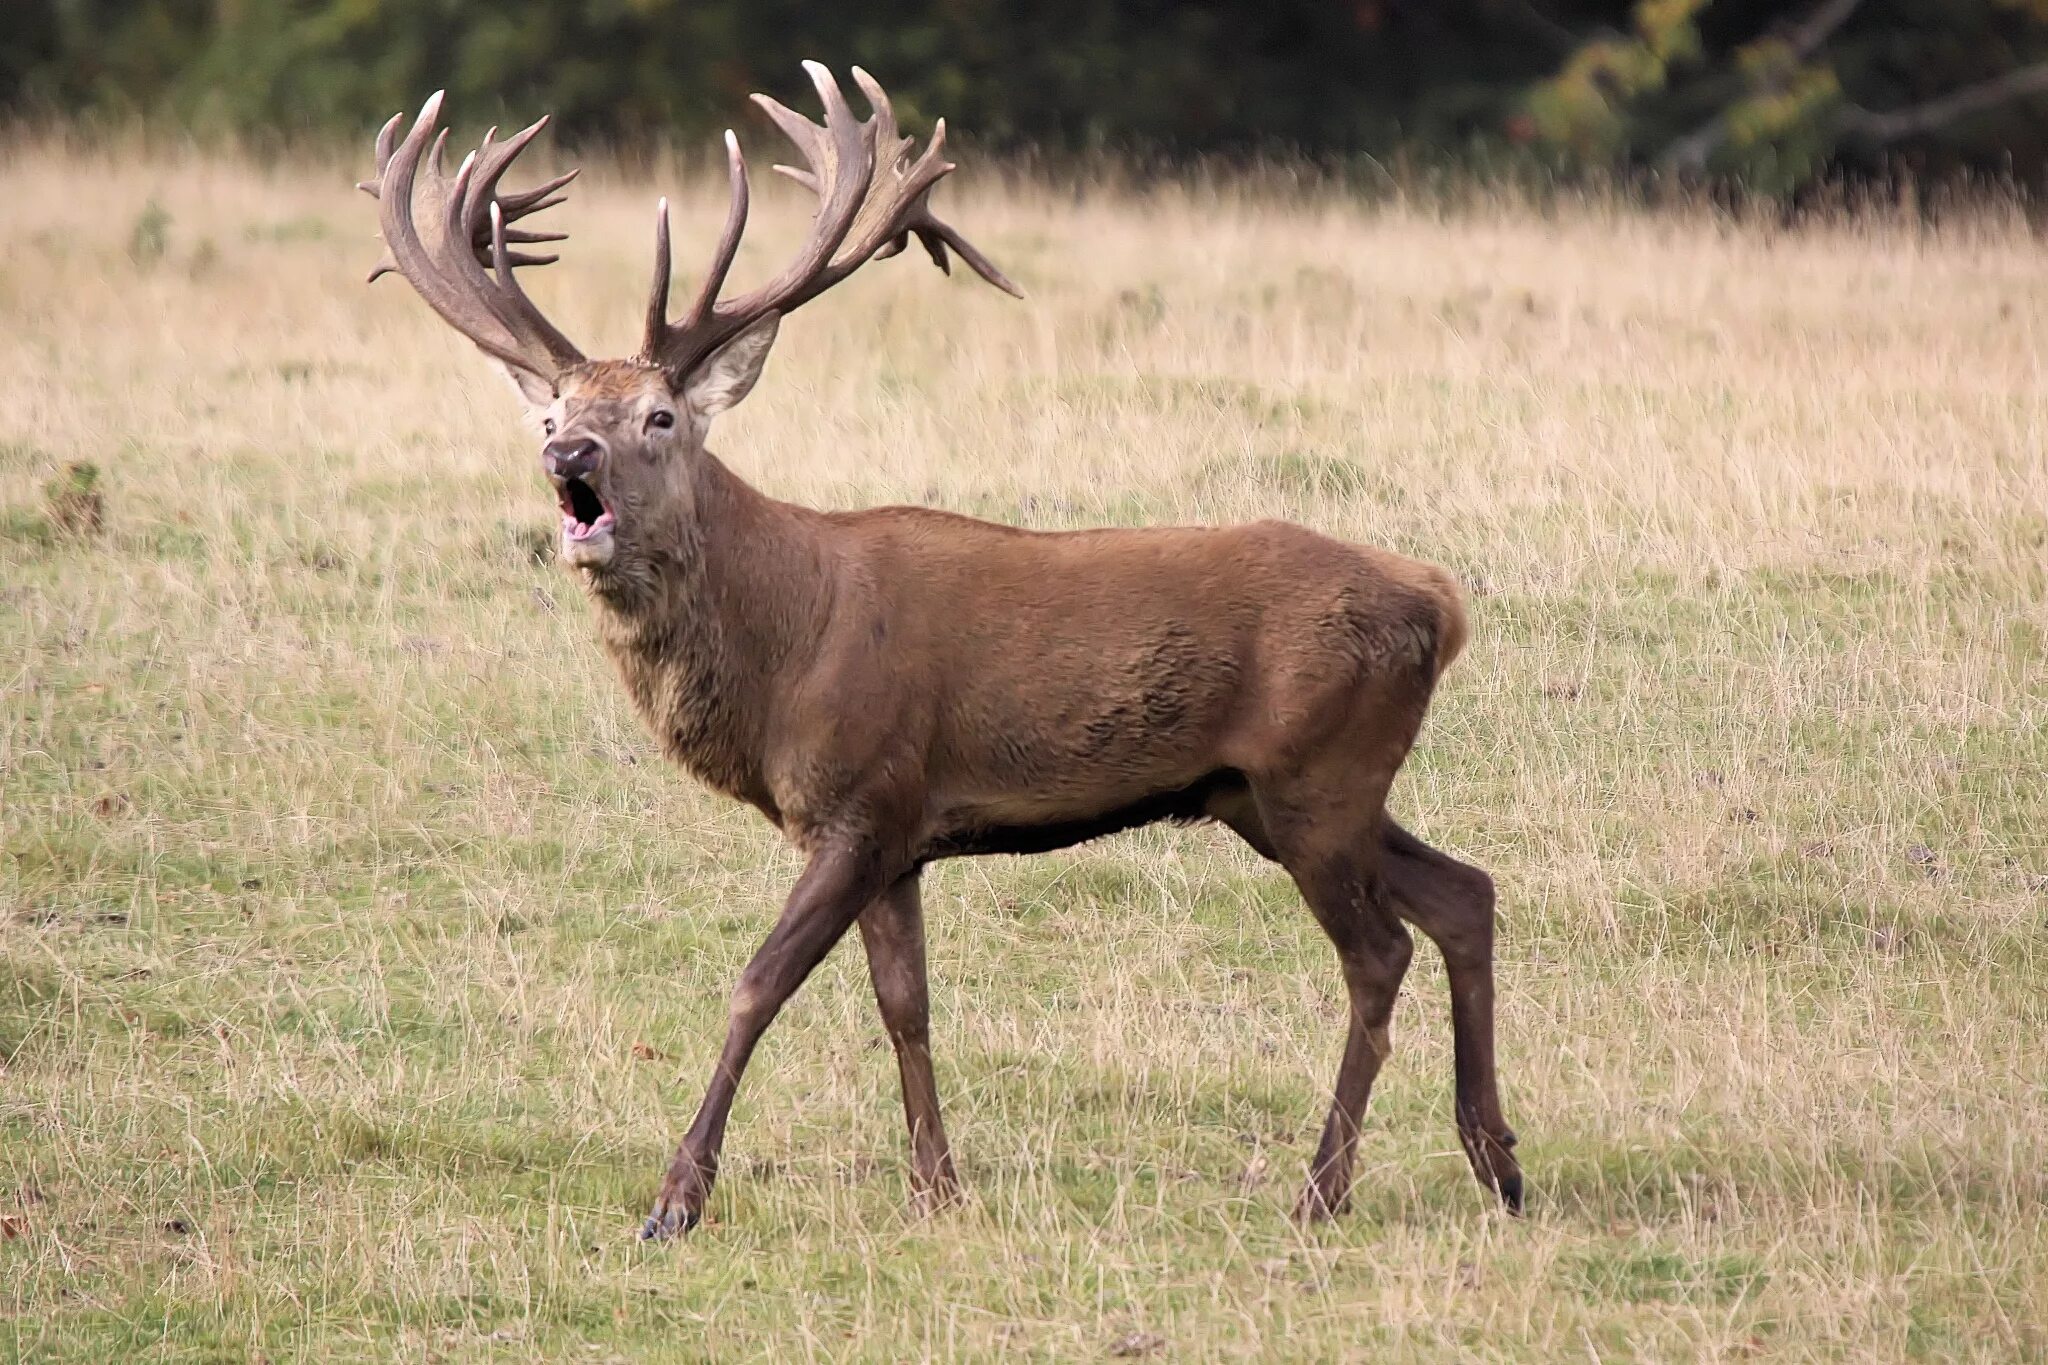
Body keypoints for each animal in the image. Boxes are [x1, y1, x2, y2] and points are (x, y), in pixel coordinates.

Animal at [360, 63, 1523, 1244]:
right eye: (551, 410)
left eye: (658, 417)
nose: (570, 456)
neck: (784, 650)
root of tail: (1439, 603)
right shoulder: (901, 833)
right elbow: (904, 1004)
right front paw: (936, 1184)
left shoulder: (861, 797)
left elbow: (757, 984)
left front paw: (676, 1197)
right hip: (1276, 790)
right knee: (1463, 892)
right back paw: (1496, 1160)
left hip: (1315, 772)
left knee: (1380, 952)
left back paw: (1323, 1187)